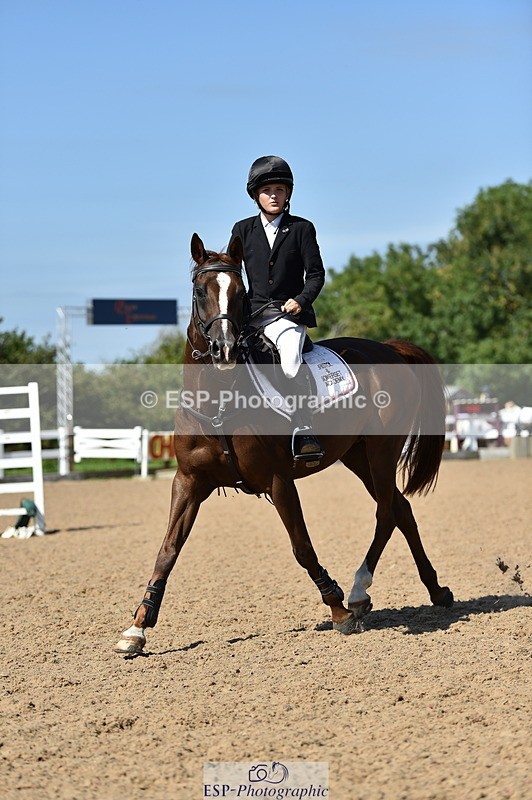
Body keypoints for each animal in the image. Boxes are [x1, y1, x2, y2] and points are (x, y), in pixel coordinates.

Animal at [115, 233, 453, 654]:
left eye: (241, 292)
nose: (224, 350)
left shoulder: (279, 481)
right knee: (401, 509)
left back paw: (358, 592)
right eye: (199, 291)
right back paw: (435, 591)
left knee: (387, 512)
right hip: (356, 455)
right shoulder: (189, 481)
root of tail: (388, 348)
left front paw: (338, 610)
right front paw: (137, 628)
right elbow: (167, 550)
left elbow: (302, 546)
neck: (219, 400)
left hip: (380, 451)